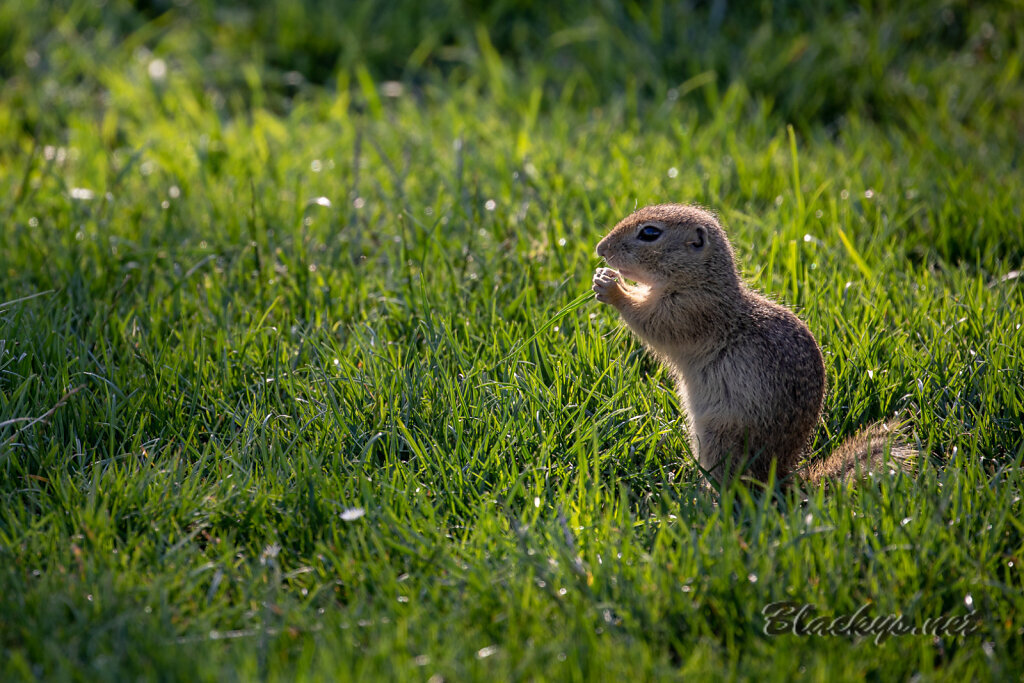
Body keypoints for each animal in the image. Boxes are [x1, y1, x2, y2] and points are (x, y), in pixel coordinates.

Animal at [593, 202, 913, 485]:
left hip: (720, 438)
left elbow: (651, 322)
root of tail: (781, 477)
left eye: (649, 233)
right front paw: (604, 277)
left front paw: (612, 289)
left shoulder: (689, 312)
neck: (701, 280)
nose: (600, 249)